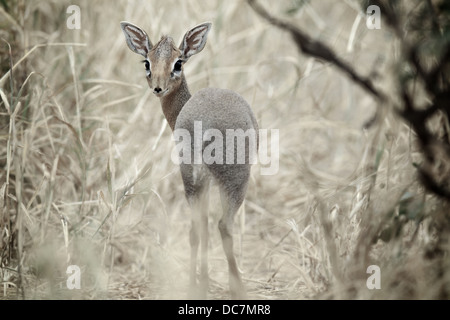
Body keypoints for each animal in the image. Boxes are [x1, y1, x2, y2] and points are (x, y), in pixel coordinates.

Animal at [120, 21, 260, 298]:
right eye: (147, 61)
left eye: (178, 63)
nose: (158, 87)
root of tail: (203, 126)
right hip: (234, 180)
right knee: (222, 226)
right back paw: (237, 288)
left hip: (193, 178)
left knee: (198, 228)